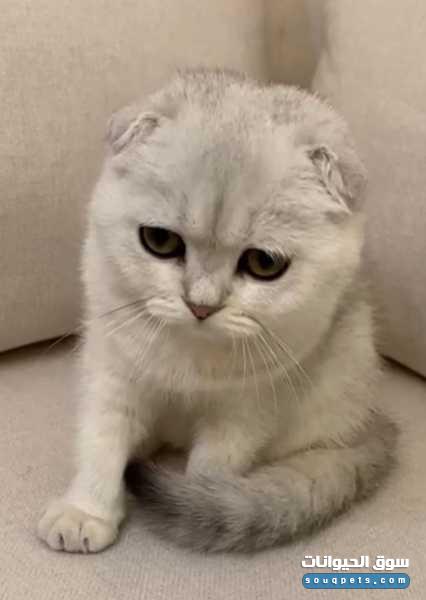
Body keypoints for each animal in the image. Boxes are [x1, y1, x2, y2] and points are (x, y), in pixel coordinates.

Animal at [38, 68, 397, 554]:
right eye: (160, 241)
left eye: (264, 264)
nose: (201, 305)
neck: (191, 357)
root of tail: (377, 426)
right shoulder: (114, 371)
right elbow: (102, 441)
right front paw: (86, 510)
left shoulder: (245, 411)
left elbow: (212, 468)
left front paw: (200, 499)